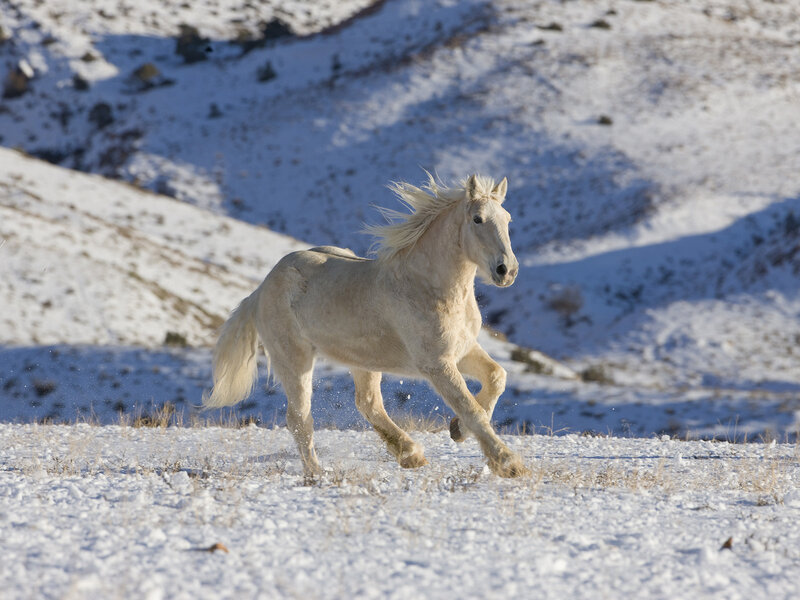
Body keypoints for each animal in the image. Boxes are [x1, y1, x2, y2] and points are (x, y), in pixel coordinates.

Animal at [203, 173, 528, 478]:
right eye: (477, 218)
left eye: (507, 219)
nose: (507, 271)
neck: (427, 286)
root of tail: (260, 289)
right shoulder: (436, 363)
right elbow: (470, 407)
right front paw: (508, 463)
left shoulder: (463, 349)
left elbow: (496, 378)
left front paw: (457, 430)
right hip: (294, 359)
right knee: (299, 418)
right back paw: (317, 473)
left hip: (363, 360)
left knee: (368, 403)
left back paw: (410, 455)